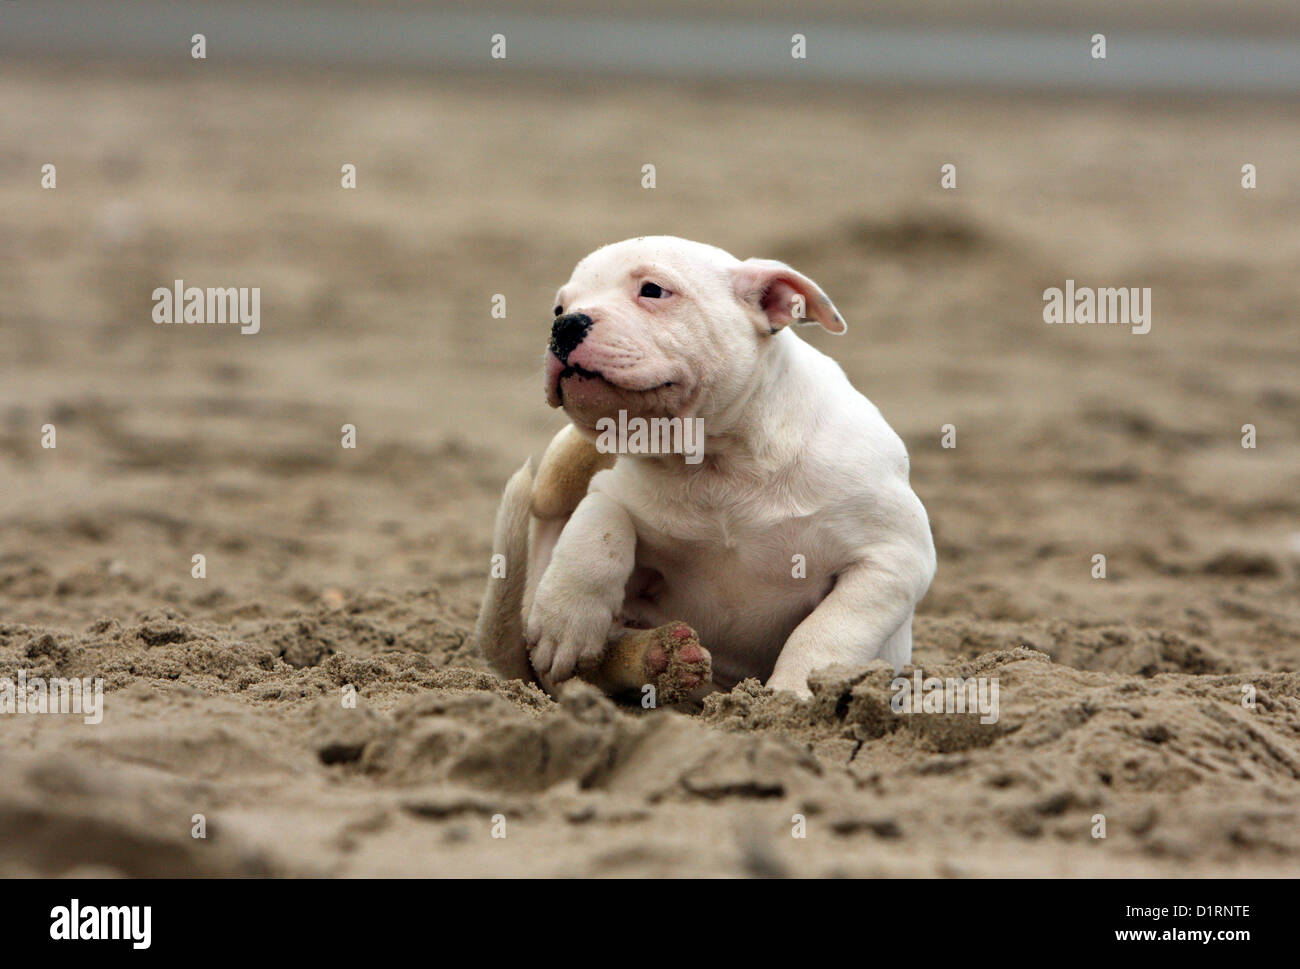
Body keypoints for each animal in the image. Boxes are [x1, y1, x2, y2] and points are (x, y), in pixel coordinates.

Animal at [478, 238, 935, 697]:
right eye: (559, 308)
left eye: (653, 290)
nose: (565, 324)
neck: (717, 461)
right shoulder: (615, 487)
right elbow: (601, 521)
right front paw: (566, 619)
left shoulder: (893, 557)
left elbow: (829, 629)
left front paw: (792, 694)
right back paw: (659, 656)